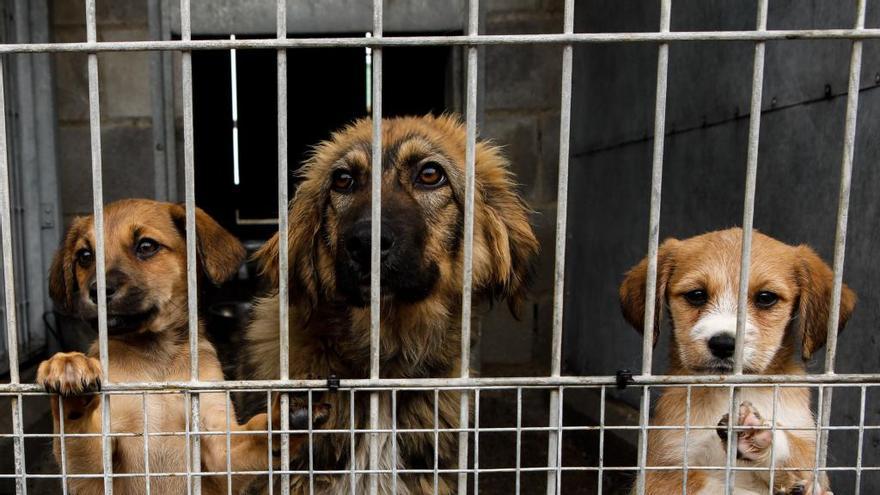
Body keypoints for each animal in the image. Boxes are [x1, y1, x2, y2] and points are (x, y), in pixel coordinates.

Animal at [36, 201, 328, 495]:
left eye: (146, 246)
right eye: (84, 256)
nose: (97, 291)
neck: (157, 360)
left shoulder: (220, 448)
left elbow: (257, 436)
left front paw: (285, 418)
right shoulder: (93, 472)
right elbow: (77, 432)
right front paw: (69, 367)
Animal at [620, 229, 852, 495]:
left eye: (766, 298)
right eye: (697, 295)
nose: (723, 343)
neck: (727, 389)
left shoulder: (811, 451)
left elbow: (800, 453)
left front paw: (755, 434)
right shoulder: (662, 470)